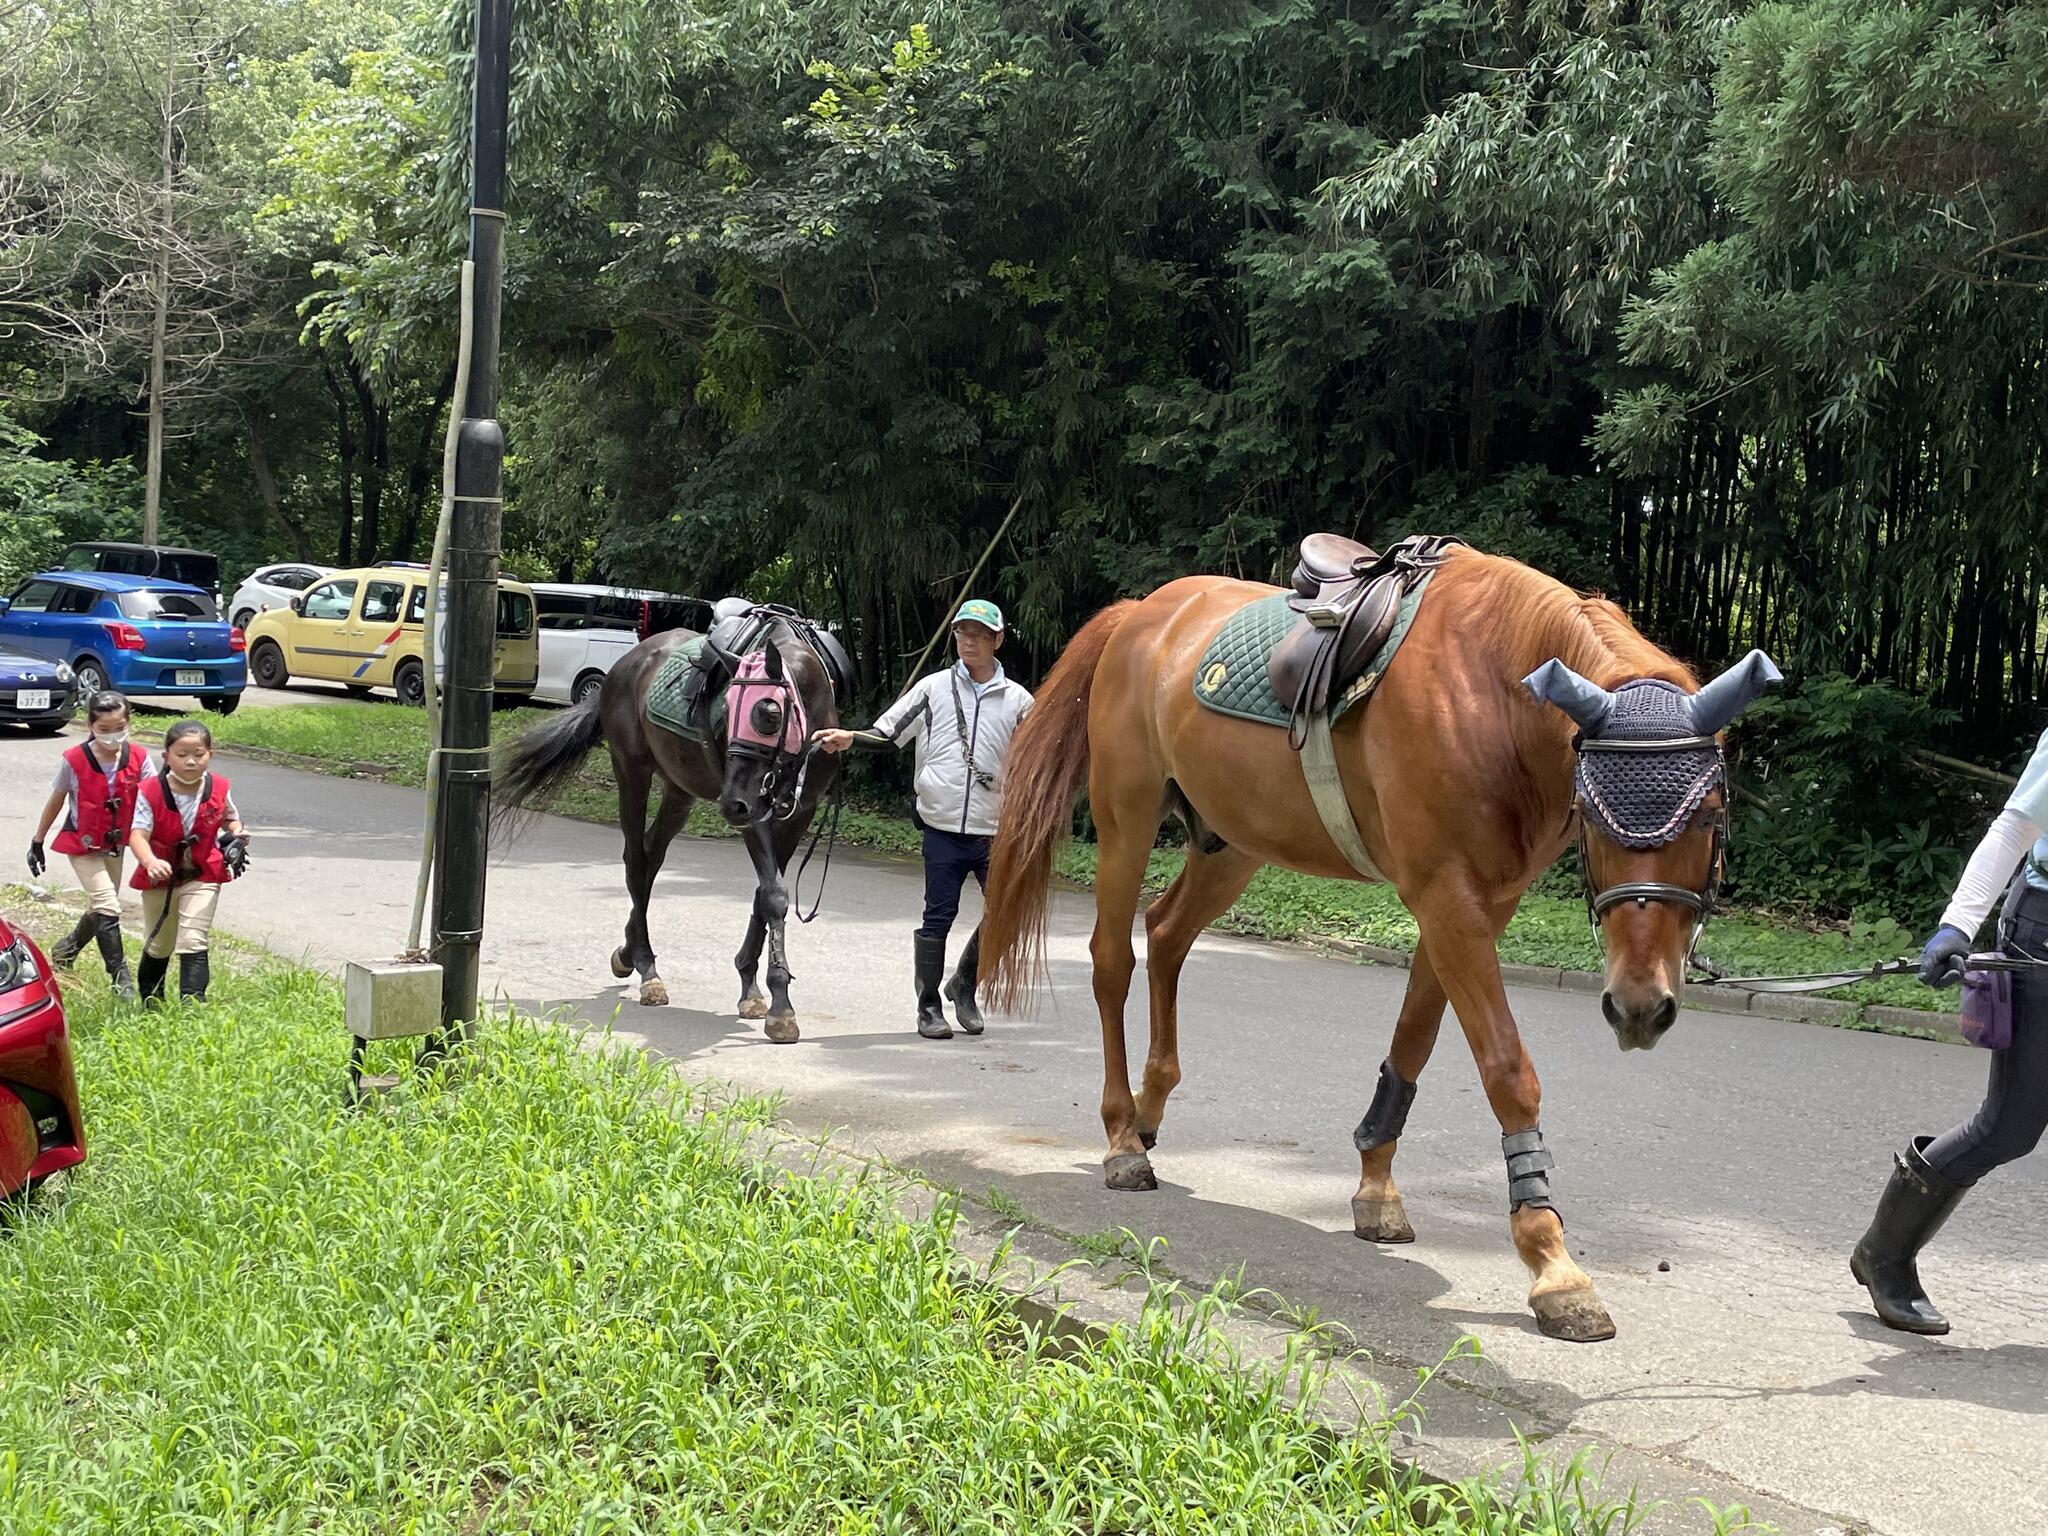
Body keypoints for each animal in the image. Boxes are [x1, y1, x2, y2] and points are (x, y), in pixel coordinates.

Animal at [495, 618, 839, 1048]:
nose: (731, 804)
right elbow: (774, 895)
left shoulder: (797, 813)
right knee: (635, 861)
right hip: (632, 772)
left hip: (679, 789)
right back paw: (647, 968)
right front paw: (780, 1005)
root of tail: (625, 663)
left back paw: (628, 951)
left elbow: (764, 894)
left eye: (767, 713)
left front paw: (750, 985)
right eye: (728, 707)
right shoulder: (756, 812)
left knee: (652, 854)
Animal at [978, 548, 1777, 1343]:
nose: (1640, 1007)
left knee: (1168, 932)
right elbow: (1507, 1070)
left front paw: (1375, 1186)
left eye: (1712, 811)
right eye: (1590, 806)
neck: (1491, 697)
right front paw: (1552, 1263)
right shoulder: (1446, 897)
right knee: (1113, 961)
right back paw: (1120, 1138)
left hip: (1235, 839)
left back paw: (1149, 1109)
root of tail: (1140, 613)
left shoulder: (1476, 906)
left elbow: (1414, 1041)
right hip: (1127, 815)